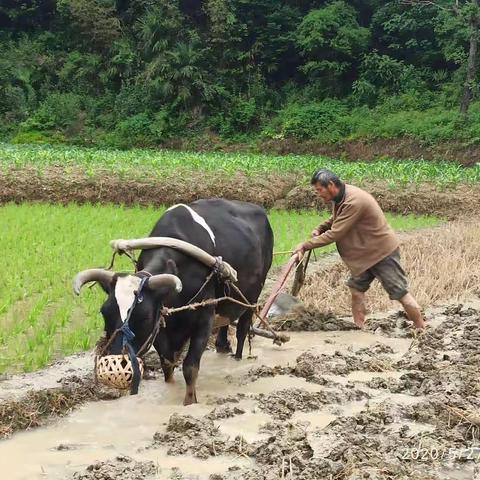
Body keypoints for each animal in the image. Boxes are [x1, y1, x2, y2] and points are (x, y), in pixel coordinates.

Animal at [72, 199, 274, 404]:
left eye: (144, 317)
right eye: (104, 312)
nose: (115, 362)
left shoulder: (204, 319)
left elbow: (190, 367)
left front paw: (189, 402)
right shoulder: (161, 324)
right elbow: (167, 362)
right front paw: (169, 387)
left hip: (252, 298)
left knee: (242, 330)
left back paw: (237, 357)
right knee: (225, 321)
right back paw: (222, 346)